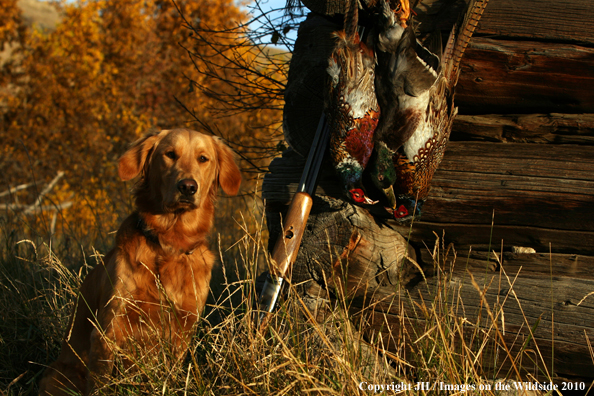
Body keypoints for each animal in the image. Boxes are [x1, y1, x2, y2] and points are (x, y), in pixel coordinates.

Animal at [39, 130, 240, 396]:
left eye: (203, 158)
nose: (187, 187)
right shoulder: (109, 329)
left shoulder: (183, 329)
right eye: (170, 154)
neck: (169, 244)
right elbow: (101, 384)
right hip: (60, 376)